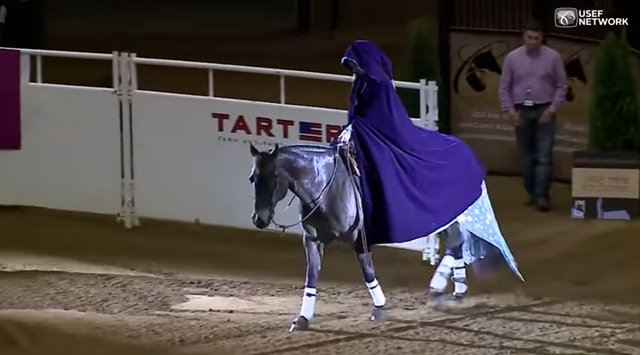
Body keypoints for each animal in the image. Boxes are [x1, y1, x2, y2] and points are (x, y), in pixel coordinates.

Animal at [248, 143, 468, 332]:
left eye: (273, 176)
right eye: (252, 178)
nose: (259, 219)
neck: (327, 187)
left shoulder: (359, 239)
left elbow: (367, 272)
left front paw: (379, 308)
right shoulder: (312, 240)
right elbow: (311, 275)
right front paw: (303, 319)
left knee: (455, 242)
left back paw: (447, 290)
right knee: (456, 244)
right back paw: (452, 292)